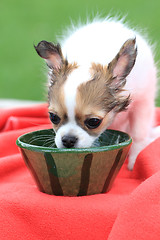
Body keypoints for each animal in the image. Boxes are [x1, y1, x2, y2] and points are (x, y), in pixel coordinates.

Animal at [34, 17, 159, 170]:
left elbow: (139, 133)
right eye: (53, 117)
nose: (68, 140)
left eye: (93, 122)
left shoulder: (142, 102)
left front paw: (135, 158)